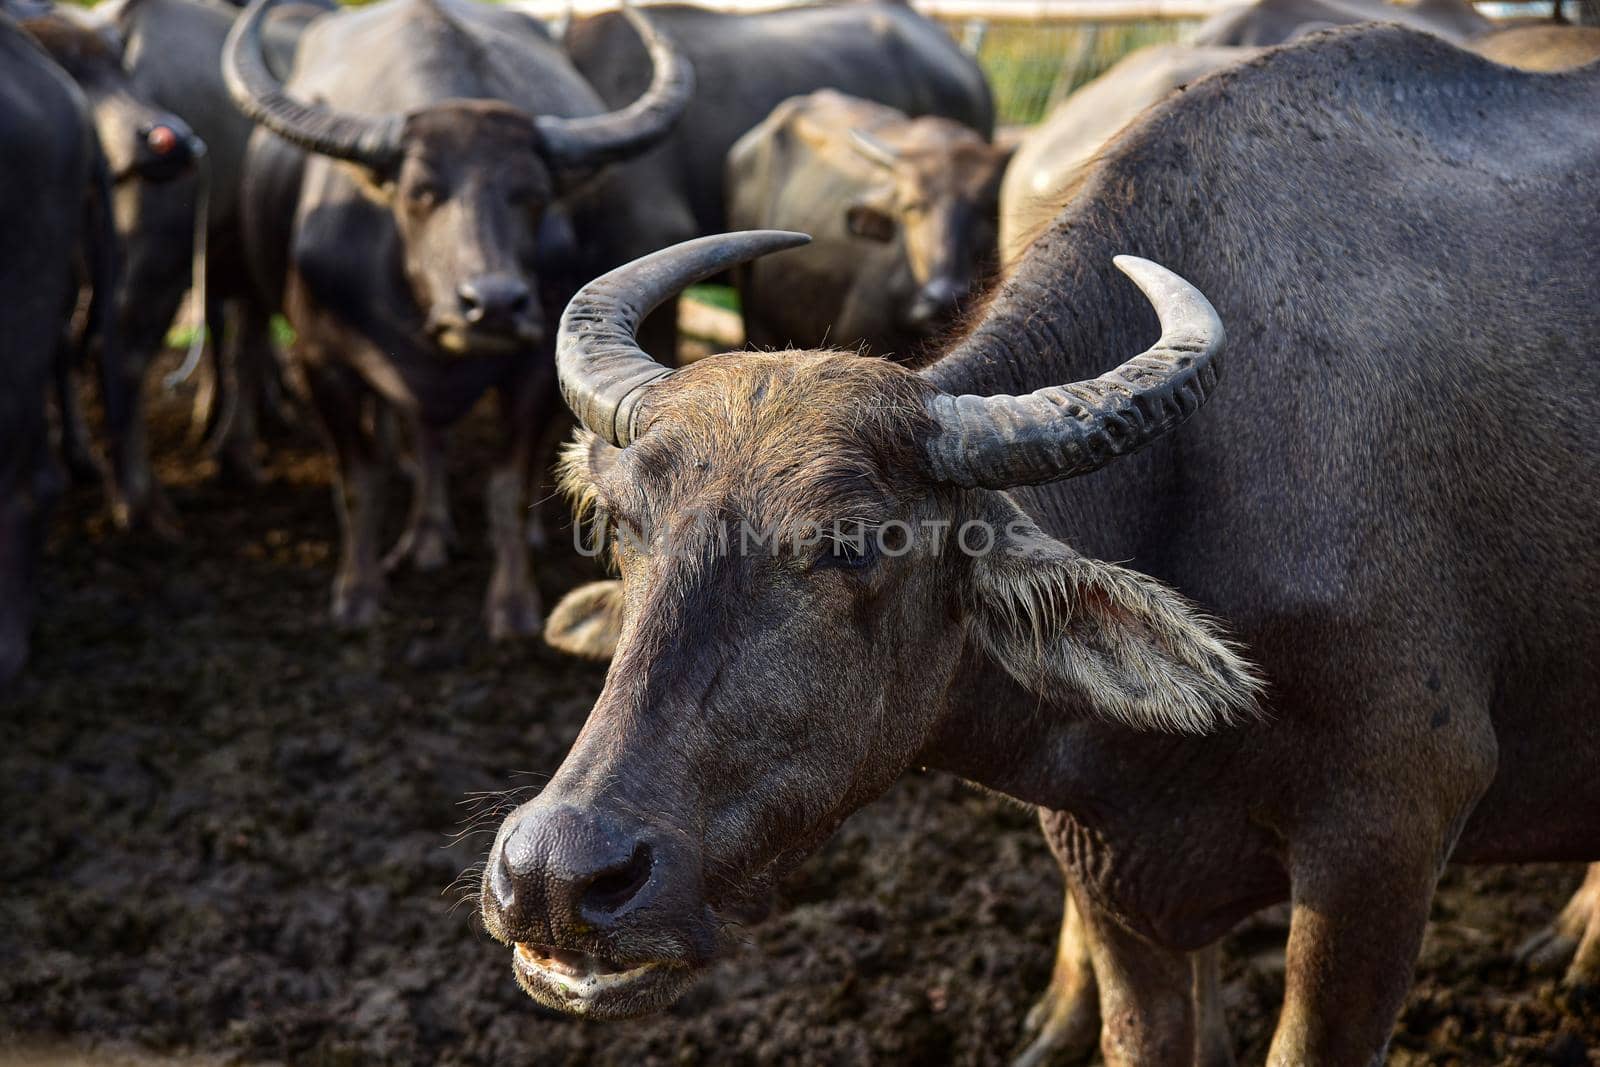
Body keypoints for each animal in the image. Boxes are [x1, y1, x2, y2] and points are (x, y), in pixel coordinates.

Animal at [483, 24, 1600, 1067]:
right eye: (625, 526)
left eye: (855, 543)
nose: (556, 877)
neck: (1195, 481)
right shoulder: (1107, 862)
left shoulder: (1385, 844)